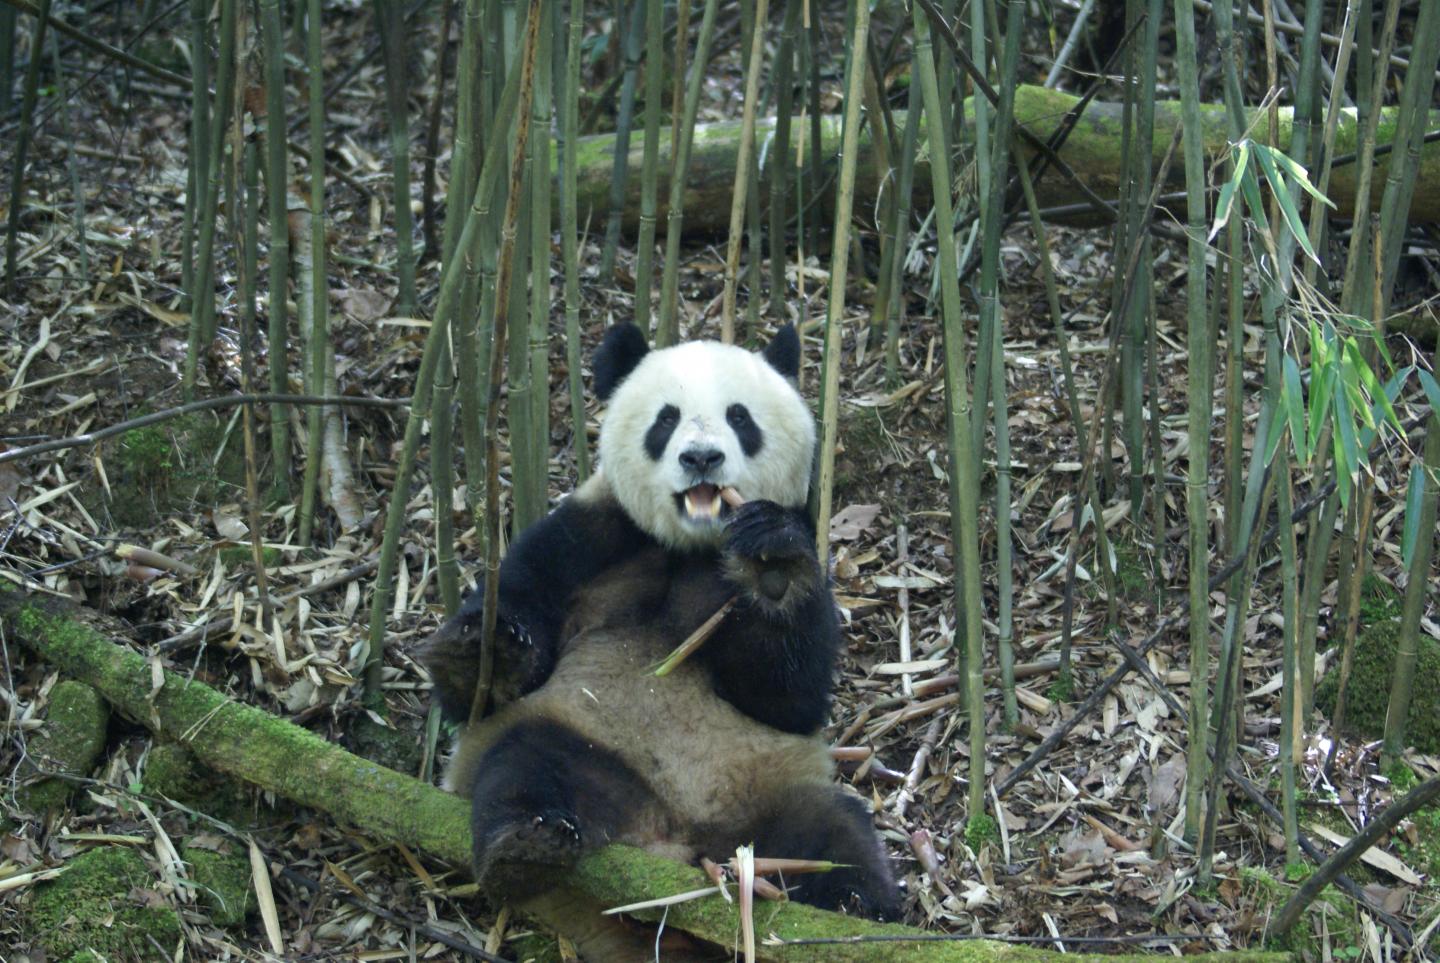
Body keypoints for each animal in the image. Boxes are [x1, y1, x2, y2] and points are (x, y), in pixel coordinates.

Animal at [417, 322, 892, 944]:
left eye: (740, 417)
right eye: (666, 420)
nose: (702, 457)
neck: (688, 544)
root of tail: (668, 843)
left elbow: (787, 699)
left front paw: (774, 567)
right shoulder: (587, 536)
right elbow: (493, 678)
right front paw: (483, 652)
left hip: (766, 792)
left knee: (831, 833)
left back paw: (857, 908)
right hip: (586, 742)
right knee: (526, 761)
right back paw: (523, 848)